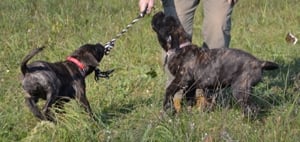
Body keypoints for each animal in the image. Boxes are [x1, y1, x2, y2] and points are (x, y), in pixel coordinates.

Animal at [151, 11, 280, 117]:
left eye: (162, 20)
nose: (160, 12)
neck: (180, 46)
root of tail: (259, 62)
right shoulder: (190, 85)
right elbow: (188, 98)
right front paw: (188, 112)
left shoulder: (182, 79)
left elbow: (169, 90)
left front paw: (168, 107)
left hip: (240, 89)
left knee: (252, 108)